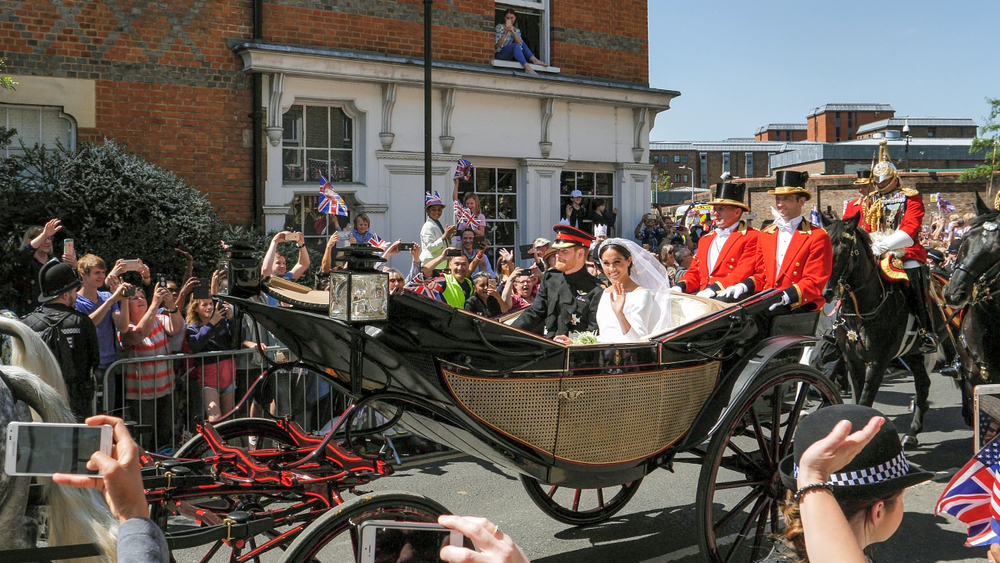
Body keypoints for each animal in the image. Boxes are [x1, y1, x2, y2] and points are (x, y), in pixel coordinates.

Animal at [824, 216, 932, 450]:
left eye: (844, 250)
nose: (825, 293)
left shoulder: (878, 362)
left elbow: (865, 400)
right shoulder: (852, 359)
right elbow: (858, 400)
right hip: (912, 352)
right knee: (923, 383)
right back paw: (913, 433)